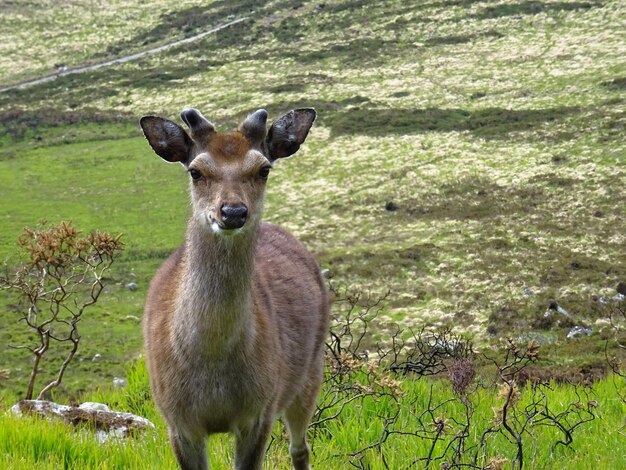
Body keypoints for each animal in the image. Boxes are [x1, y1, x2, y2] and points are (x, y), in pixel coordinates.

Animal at [140, 106, 330, 470]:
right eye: (196, 171)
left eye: (263, 169)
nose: (233, 211)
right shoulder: (177, 420)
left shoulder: (259, 411)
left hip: (310, 371)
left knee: (300, 448)